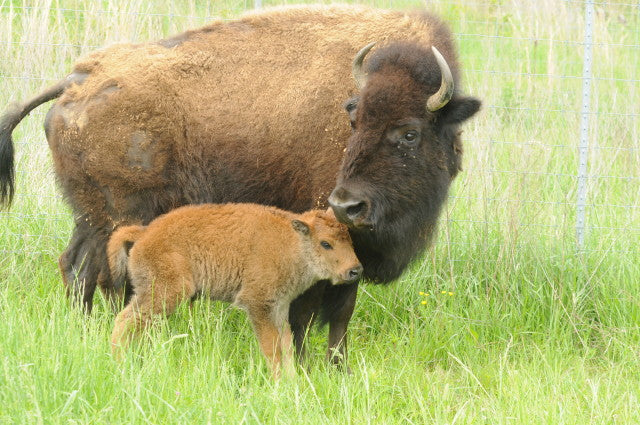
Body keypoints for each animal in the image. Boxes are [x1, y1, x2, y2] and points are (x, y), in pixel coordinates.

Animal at [107, 203, 362, 378]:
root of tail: (145, 232)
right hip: (165, 293)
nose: (355, 270)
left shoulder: (279, 308)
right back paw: (119, 363)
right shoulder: (257, 304)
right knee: (126, 320)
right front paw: (279, 382)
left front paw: (293, 380)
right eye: (326, 243)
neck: (293, 242)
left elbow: (287, 344)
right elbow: (272, 347)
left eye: (349, 238)